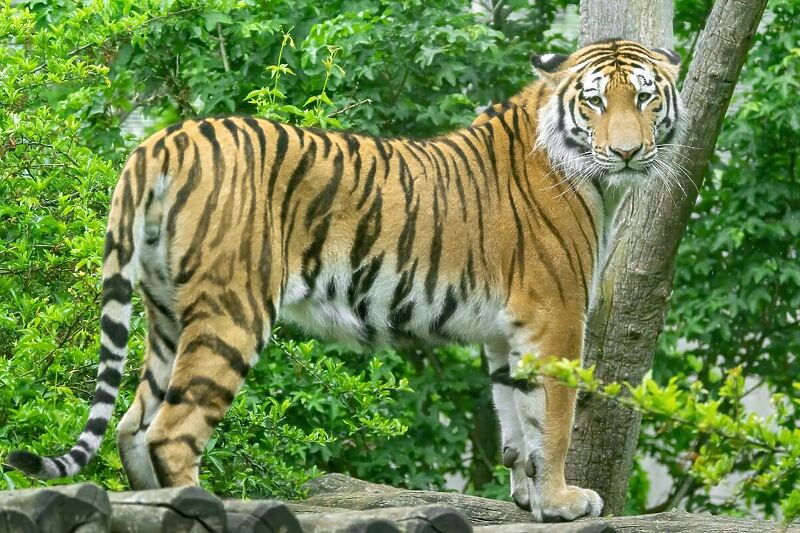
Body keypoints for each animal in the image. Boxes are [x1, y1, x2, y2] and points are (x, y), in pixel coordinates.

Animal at [6, 39, 680, 520]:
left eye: (646, 99)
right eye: (595, 102)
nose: (626, 152)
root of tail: (163, 140)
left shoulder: (506, 331)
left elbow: (517, 419)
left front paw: (531, 497)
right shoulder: (557, 315)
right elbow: (556, 418)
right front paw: (566, 501)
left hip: (167, 311)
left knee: (132, 425)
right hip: (232, 308)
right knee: (171, 432)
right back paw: (201, 508)